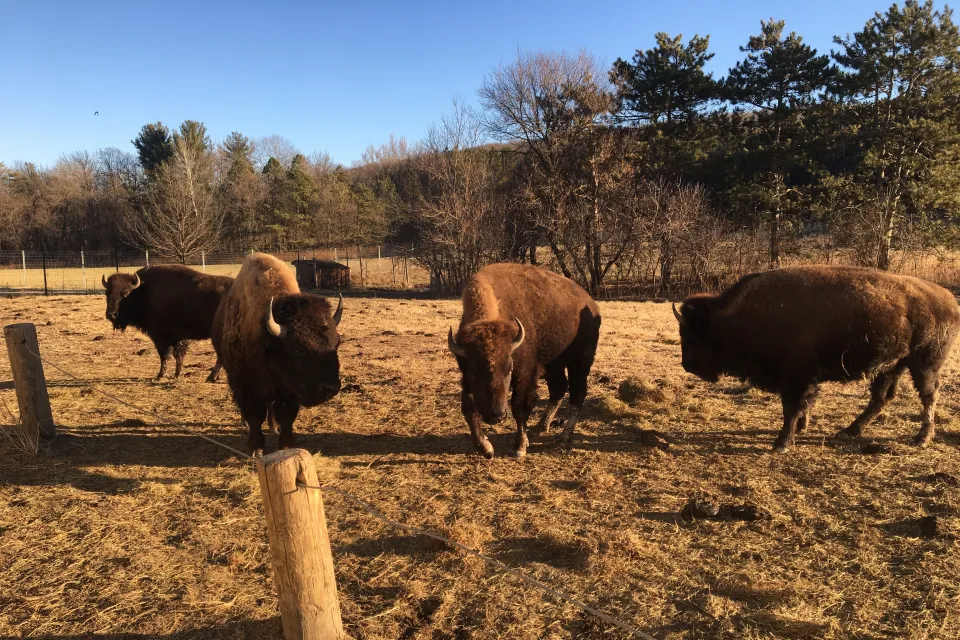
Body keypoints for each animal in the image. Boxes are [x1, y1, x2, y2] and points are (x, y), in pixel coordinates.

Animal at [102, 264, 233, 380]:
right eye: (107, 293)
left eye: (126, 293)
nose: (111, 314)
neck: (144, 290)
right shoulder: (178, 337)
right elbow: (177, 355)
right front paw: (176, 374)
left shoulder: (161, 335)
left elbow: (166, 355)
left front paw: (161, 375)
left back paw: (211, 377)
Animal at [212, 250, 344, 456]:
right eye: (298, 348)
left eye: (337, 343)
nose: (331, 388)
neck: (266, 338)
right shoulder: (244, 384)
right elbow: (254, 416)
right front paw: (256, 448)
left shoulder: (288, 389)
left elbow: (286, 416)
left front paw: (286, 445)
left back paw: (274, 427)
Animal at [448, 262, 600, 458]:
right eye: (474, 373)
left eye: (509, 368)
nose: (496, 416)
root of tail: (591, 304)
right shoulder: (465, 376)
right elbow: (468, 407)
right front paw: (485, 447)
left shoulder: (525, 374)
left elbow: (519, 407)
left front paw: (520, 447)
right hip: (554, 366)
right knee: (559, 390)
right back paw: (539, 428)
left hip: (580, 361)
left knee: (577, 394)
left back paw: (563, 438)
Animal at [676, 262, 960, 452]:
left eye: (690, 335)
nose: (687, 366)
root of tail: (949, 299)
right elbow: (802, 404)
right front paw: (801, 428)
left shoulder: (797, 376)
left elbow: (792, 407)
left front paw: (782, 443)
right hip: (892, 365)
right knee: (882, 398)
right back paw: (848, 431)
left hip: (925, 363)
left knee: (928, 396)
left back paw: (921, 438)